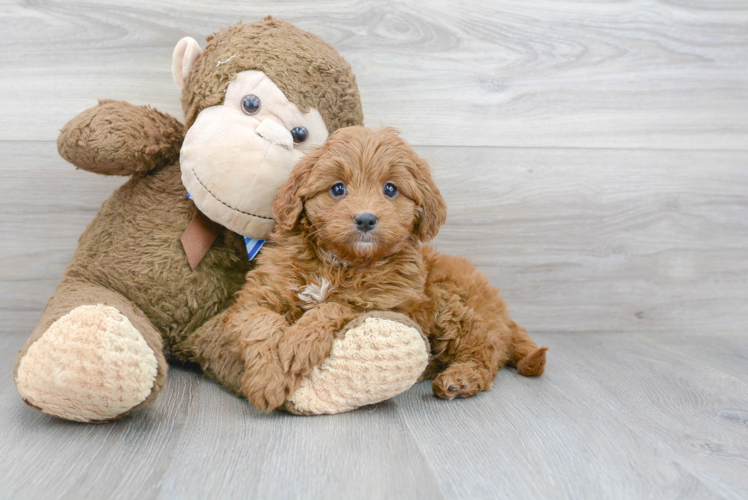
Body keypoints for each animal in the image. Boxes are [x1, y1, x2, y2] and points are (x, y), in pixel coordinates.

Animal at [225, 127, 548, 412]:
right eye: (338, 188)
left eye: (390, 189)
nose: (366, 219)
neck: (340, 262)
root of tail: (501, 313)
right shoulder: (261, 294)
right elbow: (262, 324)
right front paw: (267, 381)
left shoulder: (395, 304)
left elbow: (340, 305)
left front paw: (299, 341)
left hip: (453, 303)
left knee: (486, 352)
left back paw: (461, 379)